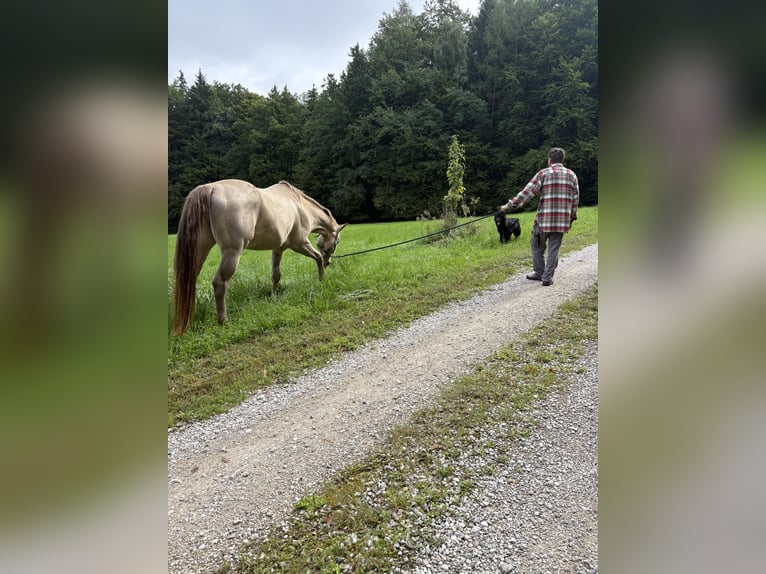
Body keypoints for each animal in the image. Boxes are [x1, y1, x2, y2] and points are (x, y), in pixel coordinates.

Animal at [171, 179, 347, 335]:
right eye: (337, 241)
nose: (329, 262)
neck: (300, 207)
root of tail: (210, 188)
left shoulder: (278, 249)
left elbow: (276, 275)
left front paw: (273, 297)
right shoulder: (300, 244)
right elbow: (317, 258)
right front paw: (322, 280)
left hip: (200, 250)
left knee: (190, 281)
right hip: (232, 252)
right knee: (219, 283)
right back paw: (223, 321)